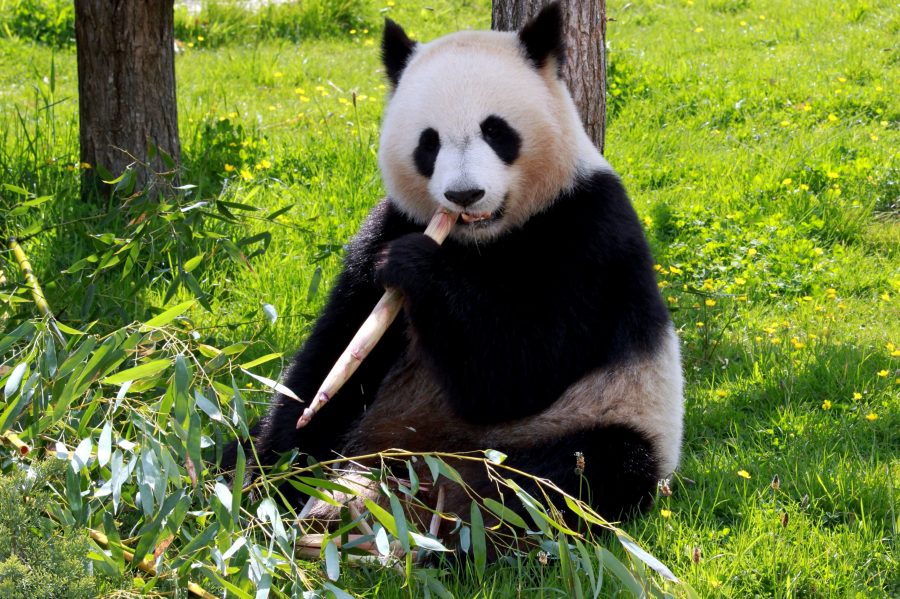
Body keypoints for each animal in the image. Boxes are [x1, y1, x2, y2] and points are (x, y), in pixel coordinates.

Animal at [232, 3, 684, 530]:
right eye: (429, 143)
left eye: (496, 131)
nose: (464, 194)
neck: (479, 241)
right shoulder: (390, 223)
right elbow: (335, 353)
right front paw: (273, 471)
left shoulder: (587, 232)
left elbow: (516, 372)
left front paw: (415, 265)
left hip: (601, 417)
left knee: (580, 474)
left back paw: (462, 521)